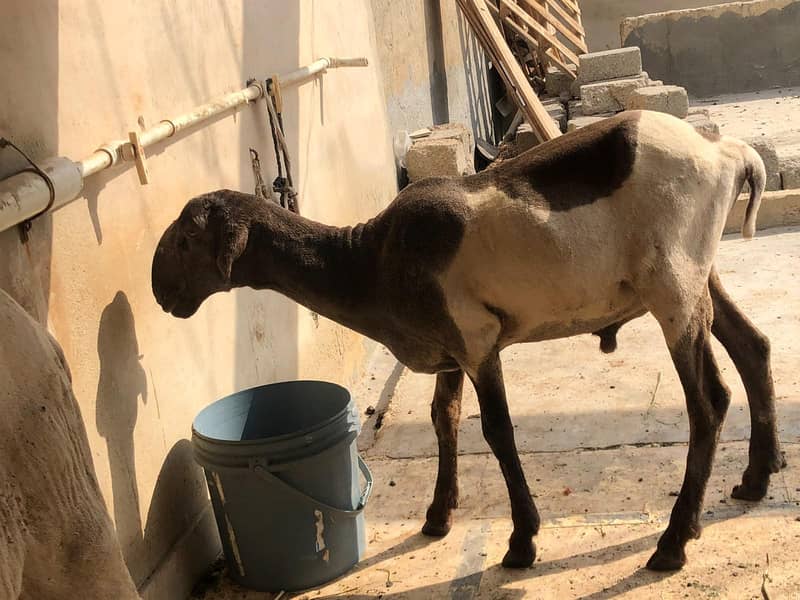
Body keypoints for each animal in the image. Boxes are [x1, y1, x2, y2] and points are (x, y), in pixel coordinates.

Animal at [152, 110, 783, 571]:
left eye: (185, 239)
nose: (160, 291)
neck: (371, 261)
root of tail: (726, 152)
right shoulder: (450, 348)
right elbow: (443, 419)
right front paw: (438, 515)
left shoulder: (478, 341)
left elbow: (498, 432)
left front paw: (522, 541)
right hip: (700, 275)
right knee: (753, 347)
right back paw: (755, 478)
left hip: (673, 289)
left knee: (709, 403)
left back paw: (674, 542)